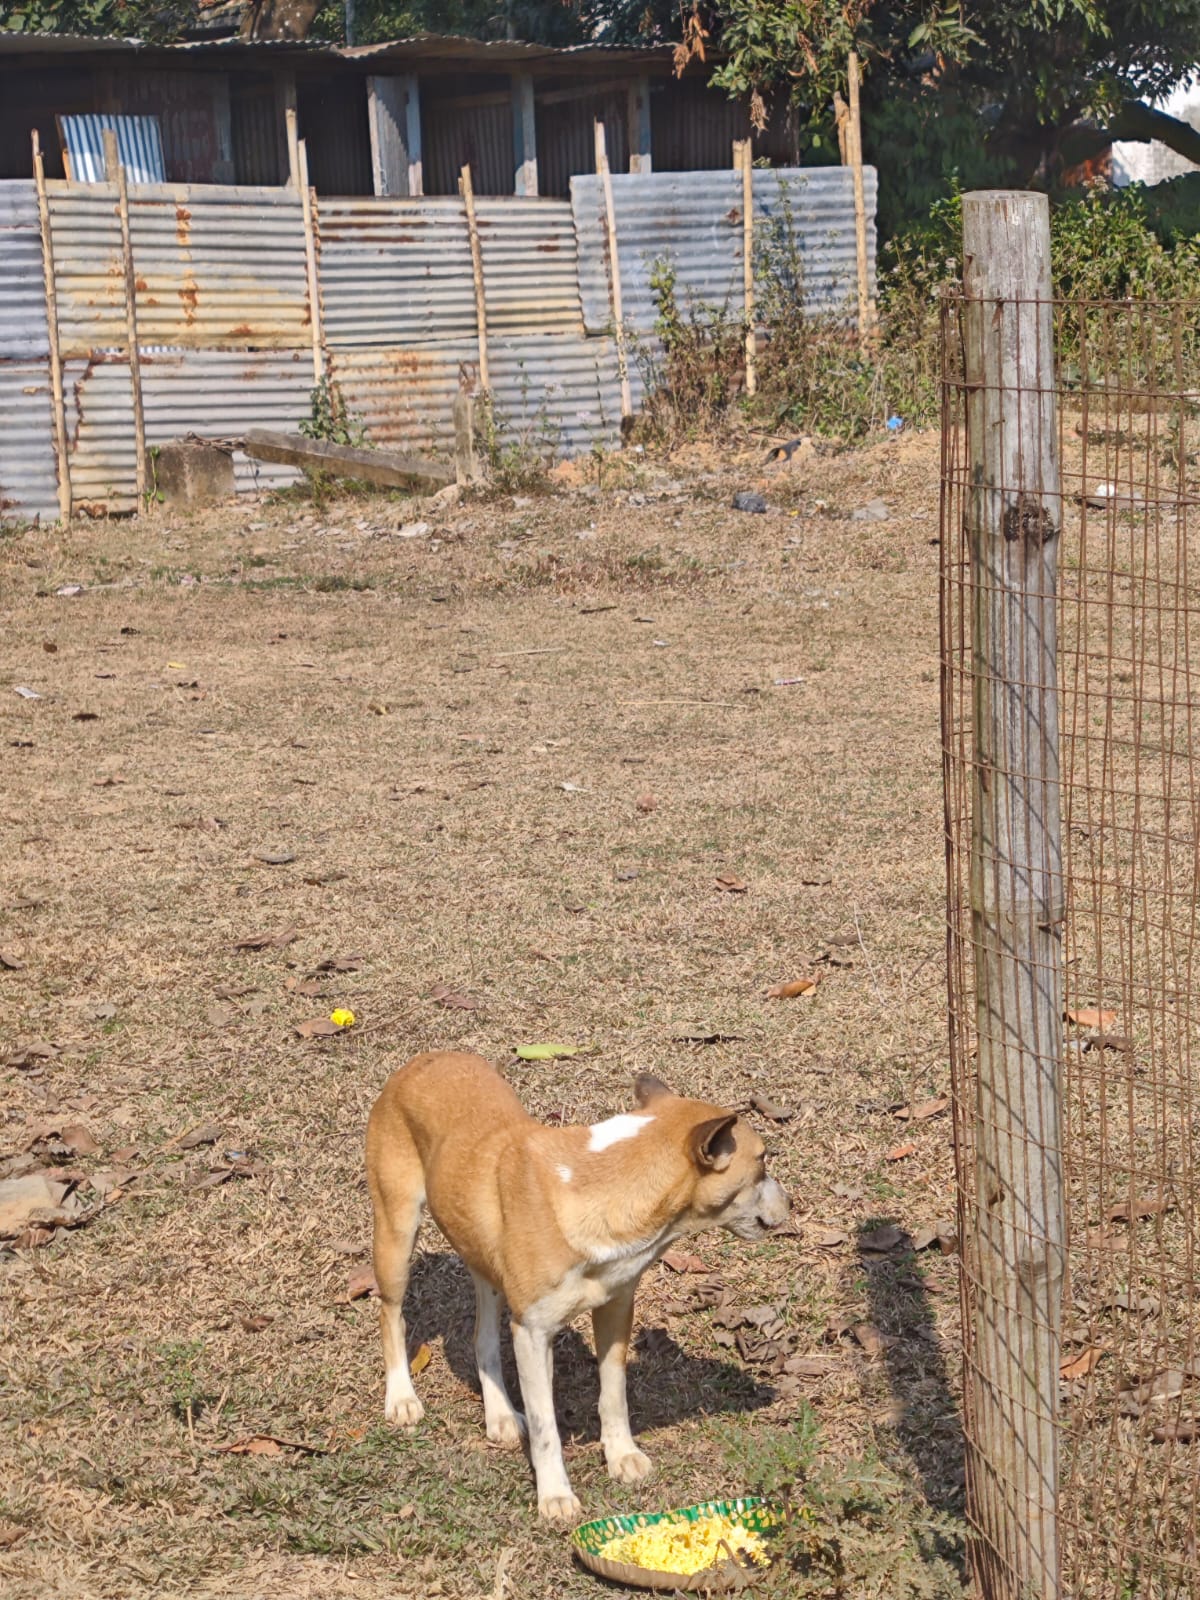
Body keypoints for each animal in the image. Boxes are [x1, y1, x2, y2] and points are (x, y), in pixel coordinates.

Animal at [365, 1051, 791, 1520]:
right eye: (763, 1160)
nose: (791, 1204)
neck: (599, 1188)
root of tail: (424, 1059)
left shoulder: (615, 1308)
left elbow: (614, 1393)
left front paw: (622, 1455)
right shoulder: (533, 1334)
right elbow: (546, 1426)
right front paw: (554, 1495)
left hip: (483, 1258)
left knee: (483, 1338)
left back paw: (499, 1415)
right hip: (397, 1234)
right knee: (390, 1315)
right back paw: (402, 1399)